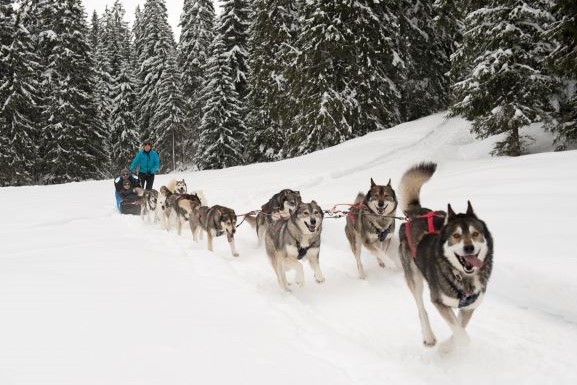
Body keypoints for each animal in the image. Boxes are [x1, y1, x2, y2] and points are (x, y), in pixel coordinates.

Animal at [398, 162, 492, 352]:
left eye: (475, 234)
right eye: (456, 236)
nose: (469, 247)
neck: (463, 277)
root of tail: (416, 213)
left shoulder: (469, 307)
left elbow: (460, 327)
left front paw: (448, 347)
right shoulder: (439, 301)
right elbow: (461, 334)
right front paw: (445, 349)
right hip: (415, 279)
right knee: (421, 309)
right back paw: (428, 336)